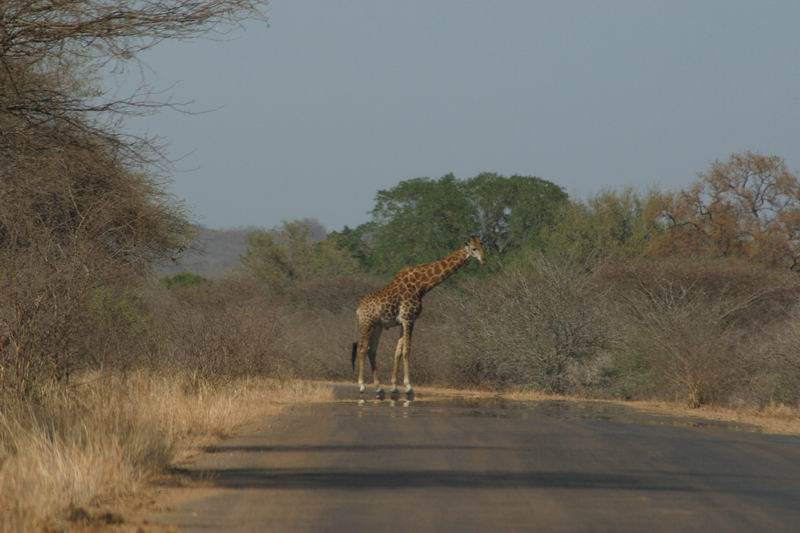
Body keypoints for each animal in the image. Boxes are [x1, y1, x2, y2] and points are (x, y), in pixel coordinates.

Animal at [351, 235, 486, 398]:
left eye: (482, 246)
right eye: (473, 249)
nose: (483, 260)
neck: (422, 285)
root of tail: (358, 309)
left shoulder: (404, 321)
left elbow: (398, 351)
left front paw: (394, 387)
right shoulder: (409, 319)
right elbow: (407, 350)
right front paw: (409, 387)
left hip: (378, 326)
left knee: (372, 350)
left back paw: (379, 388)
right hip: (366, 323)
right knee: (362, 348)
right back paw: (362, 385)